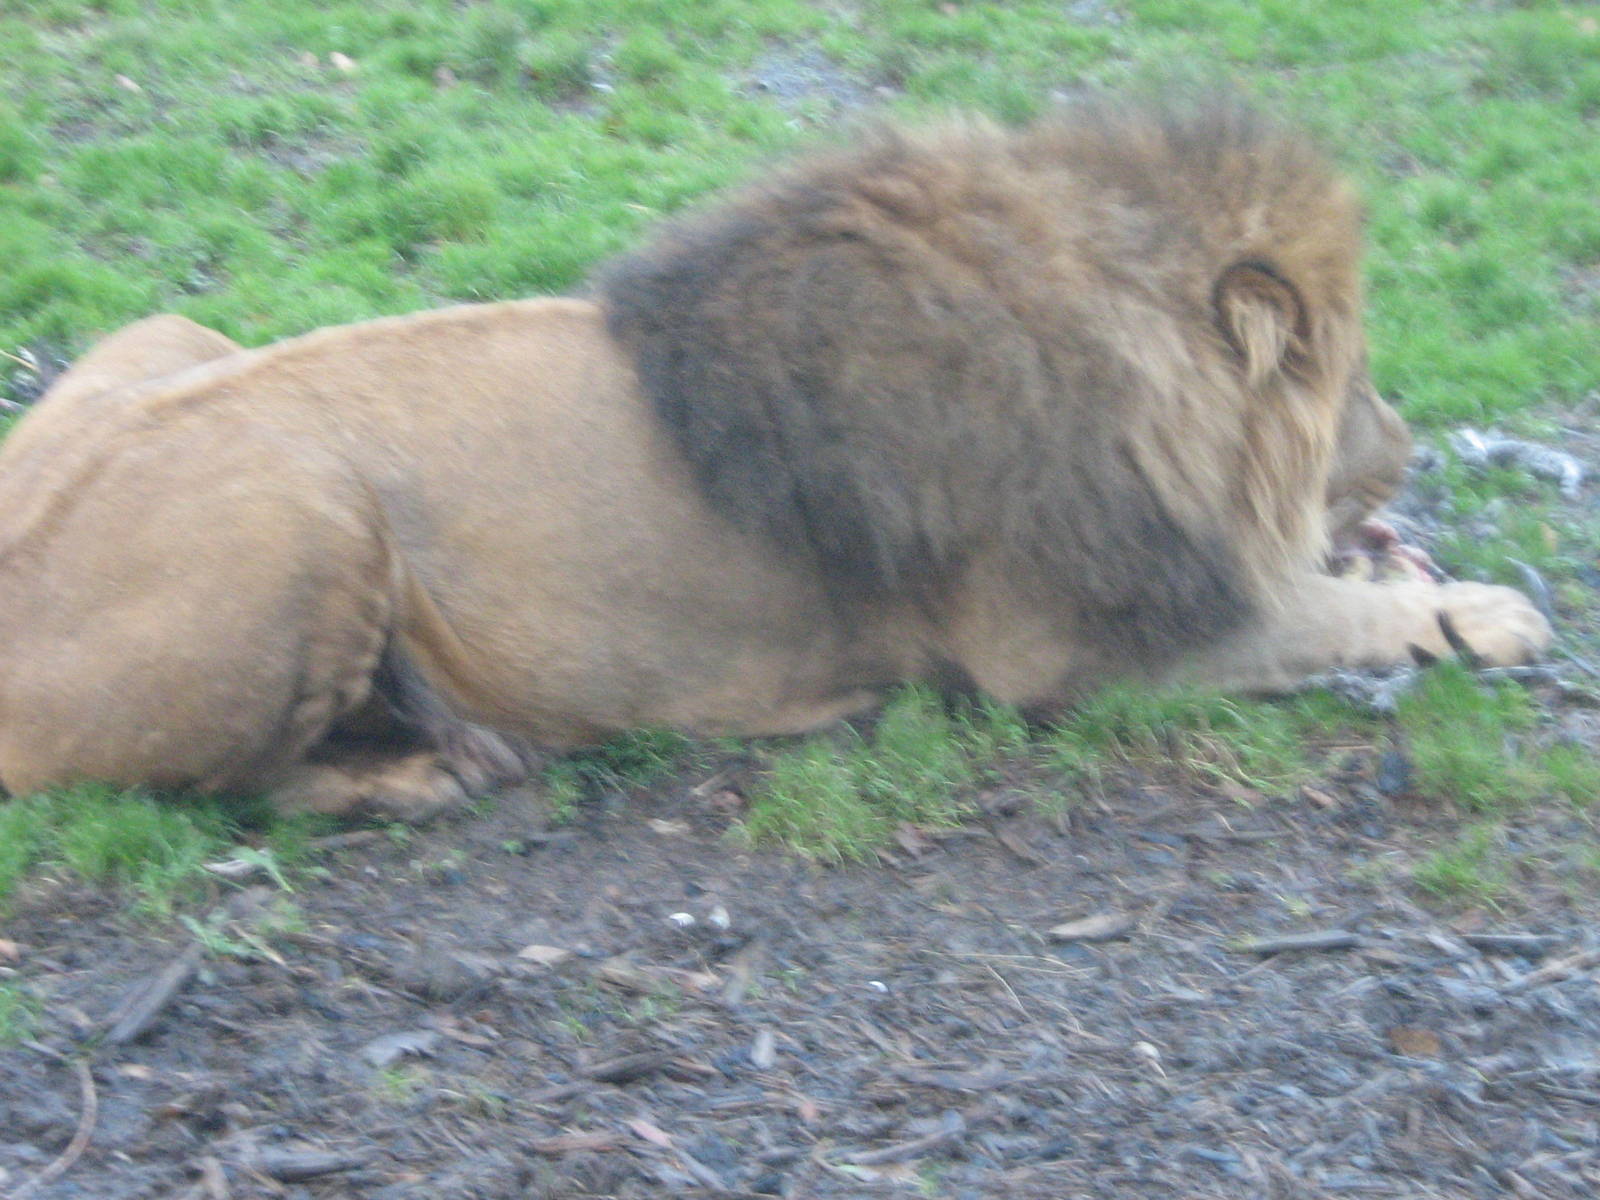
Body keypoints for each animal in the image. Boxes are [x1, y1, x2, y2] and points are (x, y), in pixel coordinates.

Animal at [0, 96, 1551, 819]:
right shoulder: (1068, 653)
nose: (1411, 447)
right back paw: (429, 769)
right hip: (307, 506)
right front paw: (1484, 613)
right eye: (1356, 378)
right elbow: (1324, 618)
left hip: (164, 335)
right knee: (208, 786)